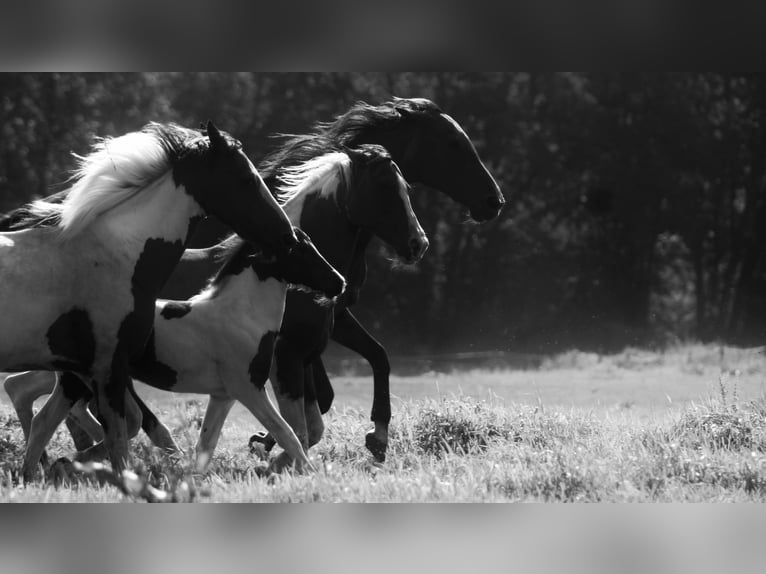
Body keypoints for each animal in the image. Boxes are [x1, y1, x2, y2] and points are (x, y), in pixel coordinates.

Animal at [0, 121, 298, 482]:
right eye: (245, 177)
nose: (287, 235)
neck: (117, 254)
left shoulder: (84, 370)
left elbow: (61, 427)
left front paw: (52, 468)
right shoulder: (108, 368)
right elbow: (119, 444)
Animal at [8, 227, 344, 474]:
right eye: (300, 250)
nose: (339, 282)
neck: (241, 316)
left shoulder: (223, 395)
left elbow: (206, 444)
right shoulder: (249, 389)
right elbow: (287, 433)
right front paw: (310, 473)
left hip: (76, 380)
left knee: (45, 420)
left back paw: (43, 470)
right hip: (82, 381)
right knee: (47, 420)